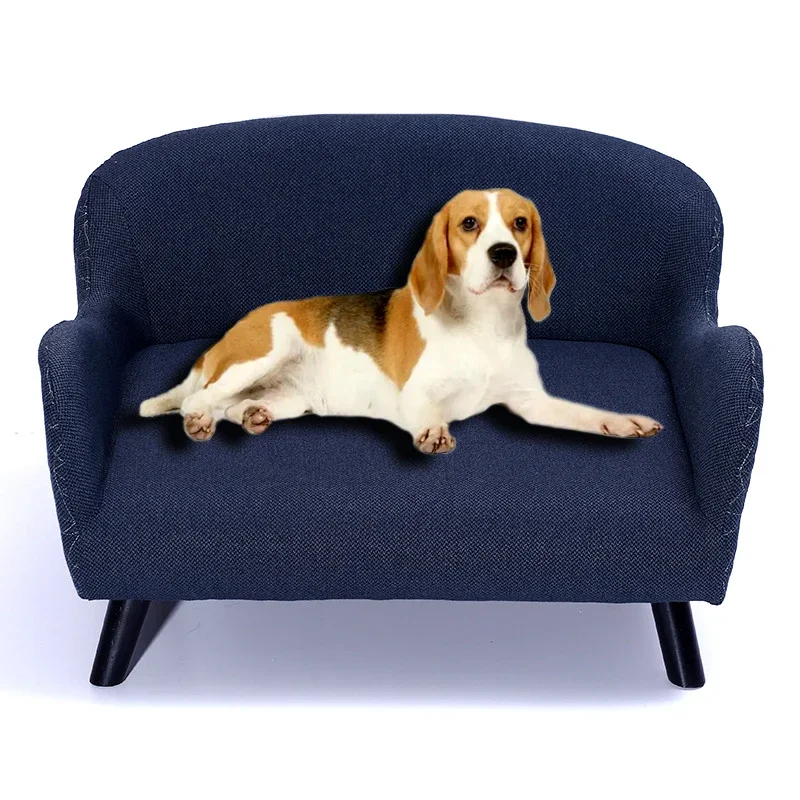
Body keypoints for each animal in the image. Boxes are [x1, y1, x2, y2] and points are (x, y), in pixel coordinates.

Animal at [140, 188, 663, 453]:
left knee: (232, 407)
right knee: (198, 402)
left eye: (520, 224)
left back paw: (250, 416)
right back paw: (198, 423)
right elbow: (428, 412)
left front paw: (622, 423)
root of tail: (223, 339)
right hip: (265, 351)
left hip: (289, 397)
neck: (484, 327)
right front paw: (433, 432)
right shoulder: (417, 394)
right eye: (469, 224)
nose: (504, 254)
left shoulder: (532, 403)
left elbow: (584, 414)